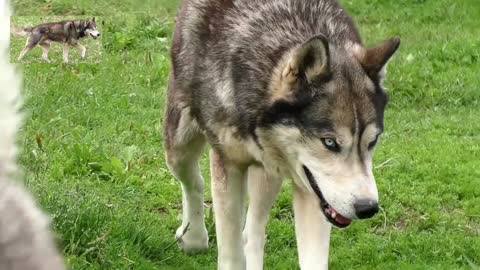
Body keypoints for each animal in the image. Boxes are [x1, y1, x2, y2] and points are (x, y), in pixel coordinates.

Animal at [163, 1, 400, 268]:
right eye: (330, 142)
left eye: (372, 141)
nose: (368, 208)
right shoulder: (229, 164)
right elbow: (231, 254)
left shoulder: (313, 193)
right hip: (179, 148)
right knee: (194, 180)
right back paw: (192, 236)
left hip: (269, 174)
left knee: (251, 233)